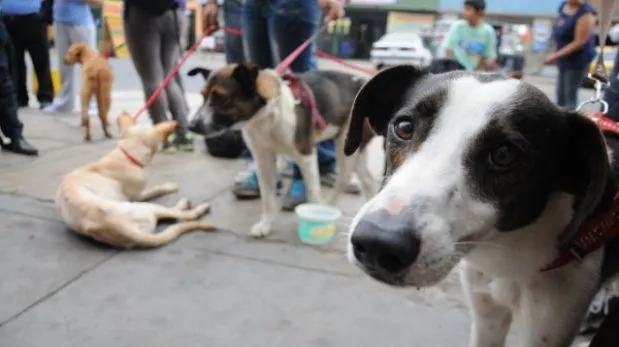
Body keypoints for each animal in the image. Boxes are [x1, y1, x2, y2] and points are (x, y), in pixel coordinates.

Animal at [55, 113, 216, 249]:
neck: (127, 155)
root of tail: (120, 229)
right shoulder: (139, 195)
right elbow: (156, 189)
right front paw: (169, 186)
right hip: (145, 206)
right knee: (182, 215)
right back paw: (192, 206)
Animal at [344, 64, 619, 346]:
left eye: (504, 154)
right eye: (405, 127)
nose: (378, 243)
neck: (507, 255)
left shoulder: (546, 327)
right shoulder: (486, 316)